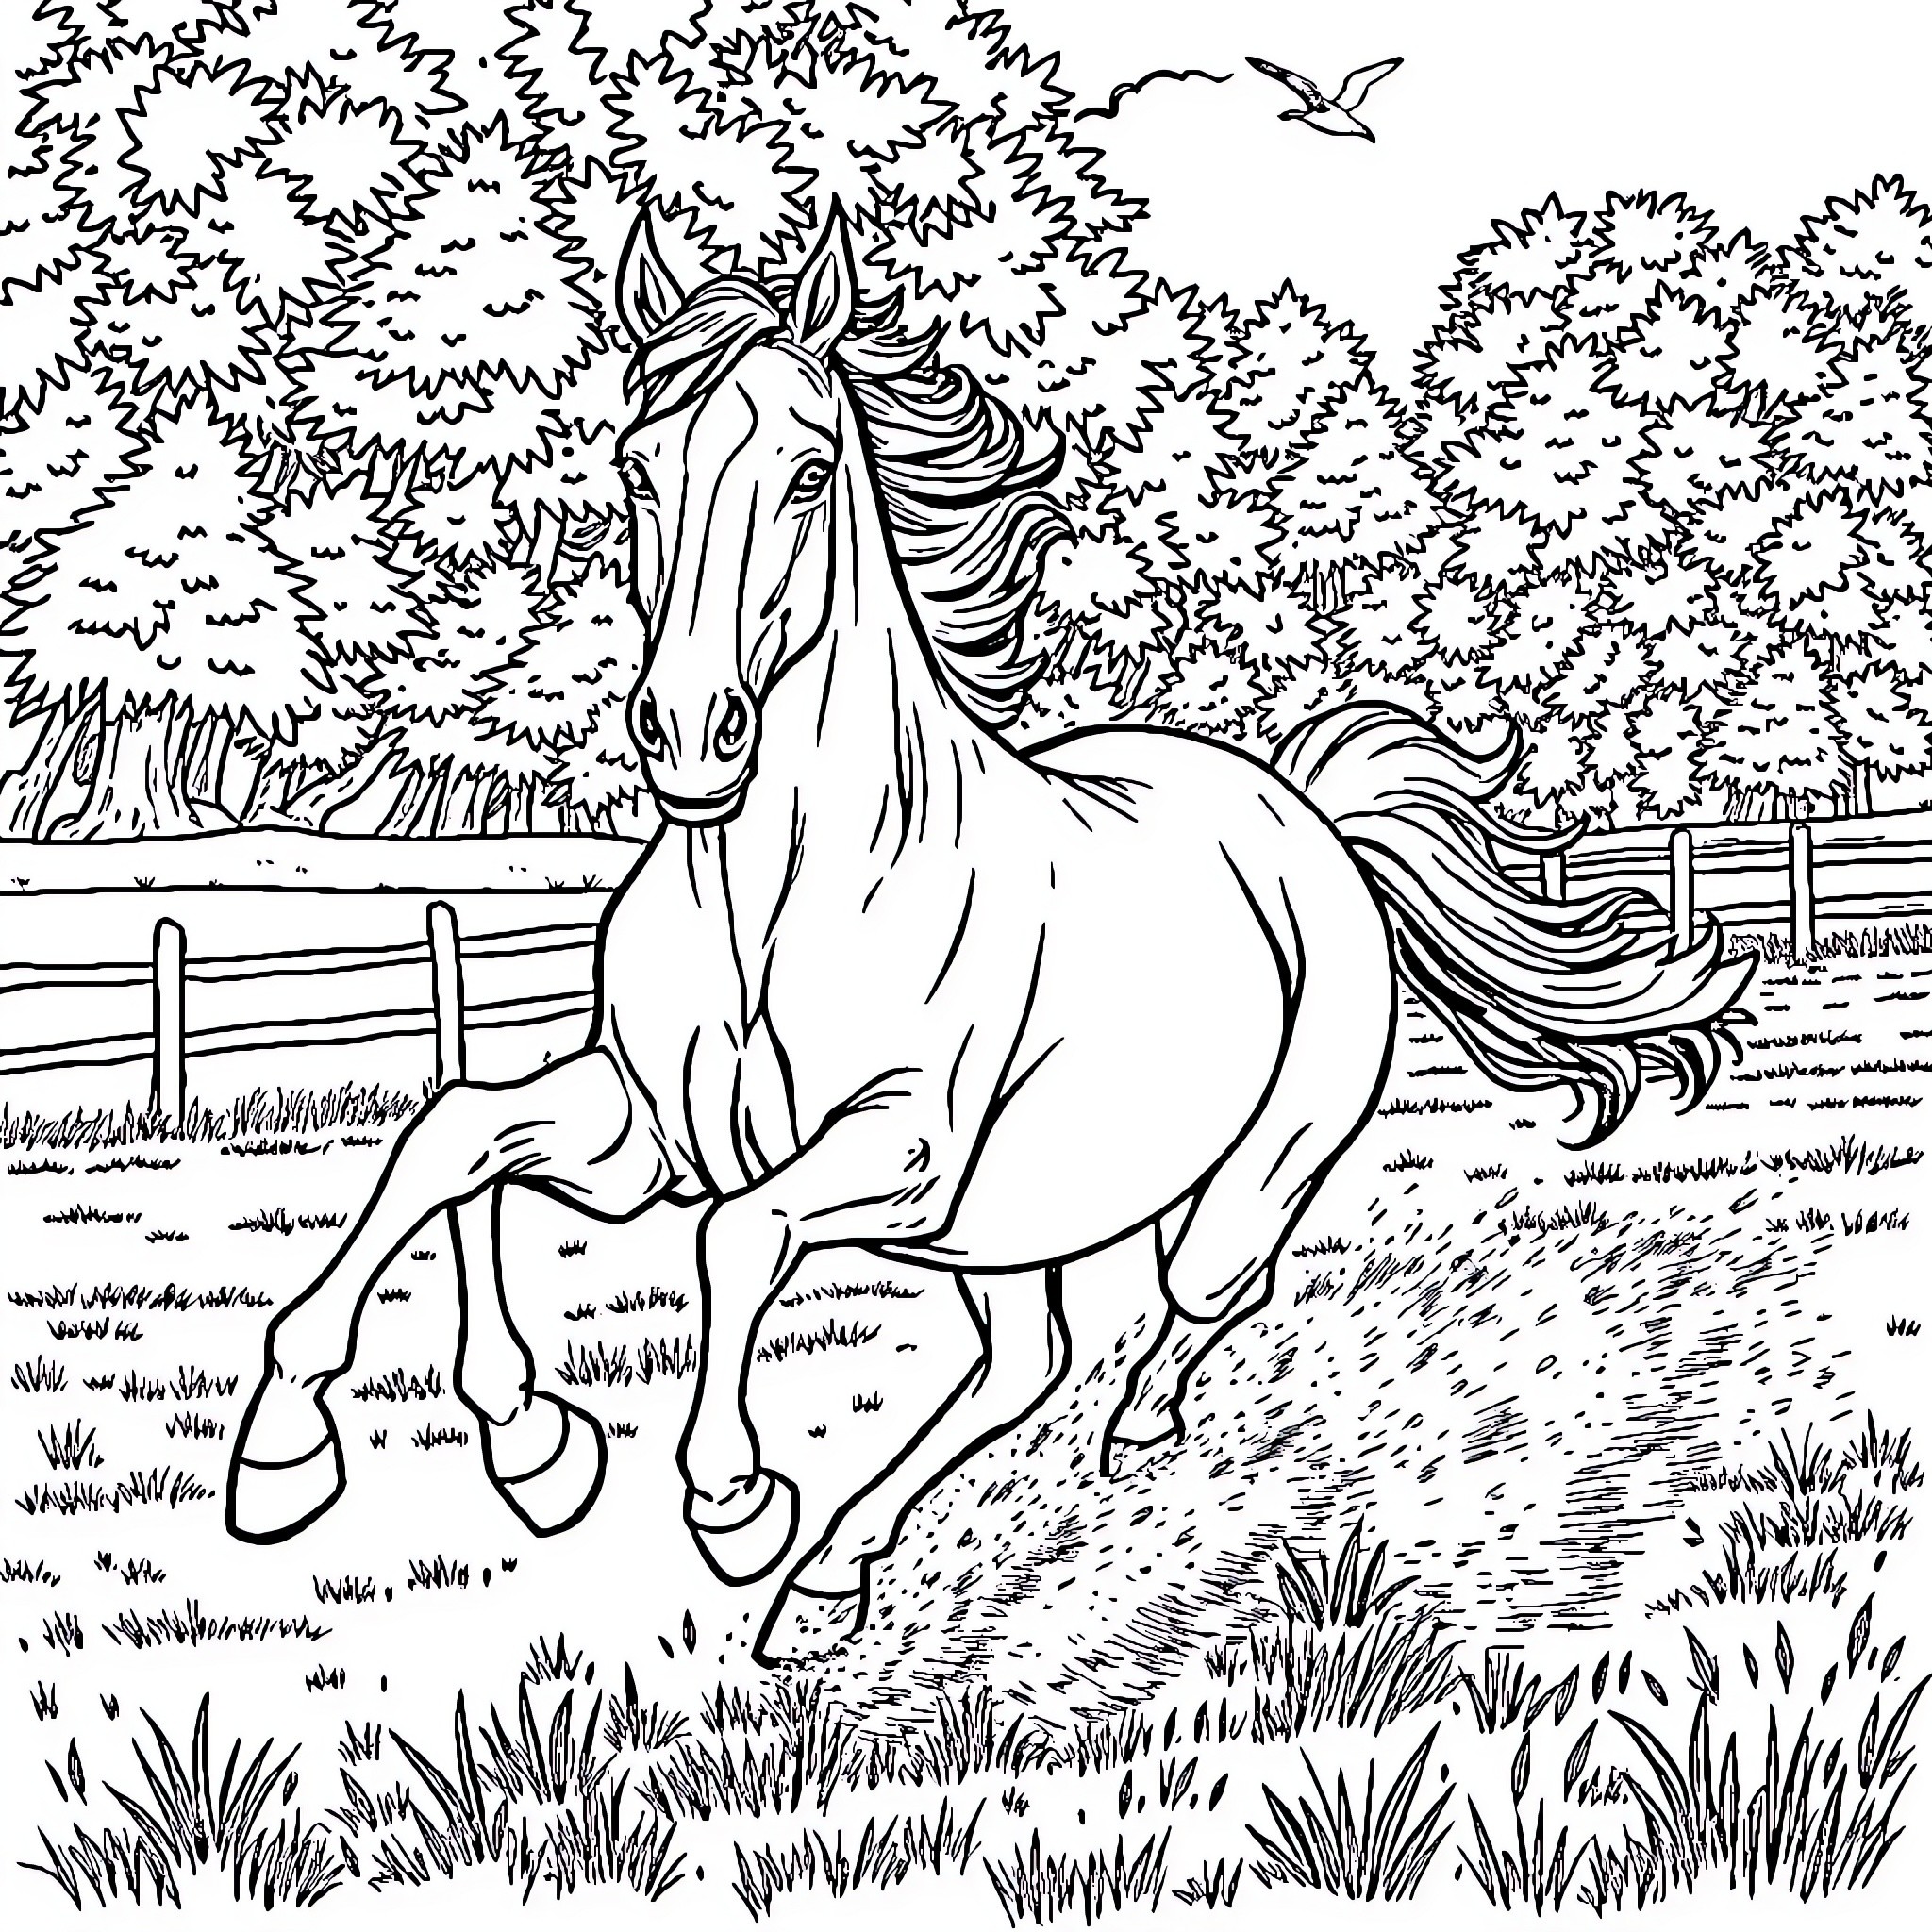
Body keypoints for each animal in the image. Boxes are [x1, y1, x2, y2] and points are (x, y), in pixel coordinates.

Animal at [226, 206, 1753, 1663]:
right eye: (637, 468)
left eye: (806, 475)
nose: (687, 734)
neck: (770, 899)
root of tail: (1306, 814)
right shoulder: (641, 1133)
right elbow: (455, 1132)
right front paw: (449, 1446)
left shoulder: (899, 1154)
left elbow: (736, 1237)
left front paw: (730, 1498)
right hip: (1011, 1232)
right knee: (1023, 1366)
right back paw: (828, 1579)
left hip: (1229, 1179)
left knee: (1190, 1302)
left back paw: (1086, 1447)